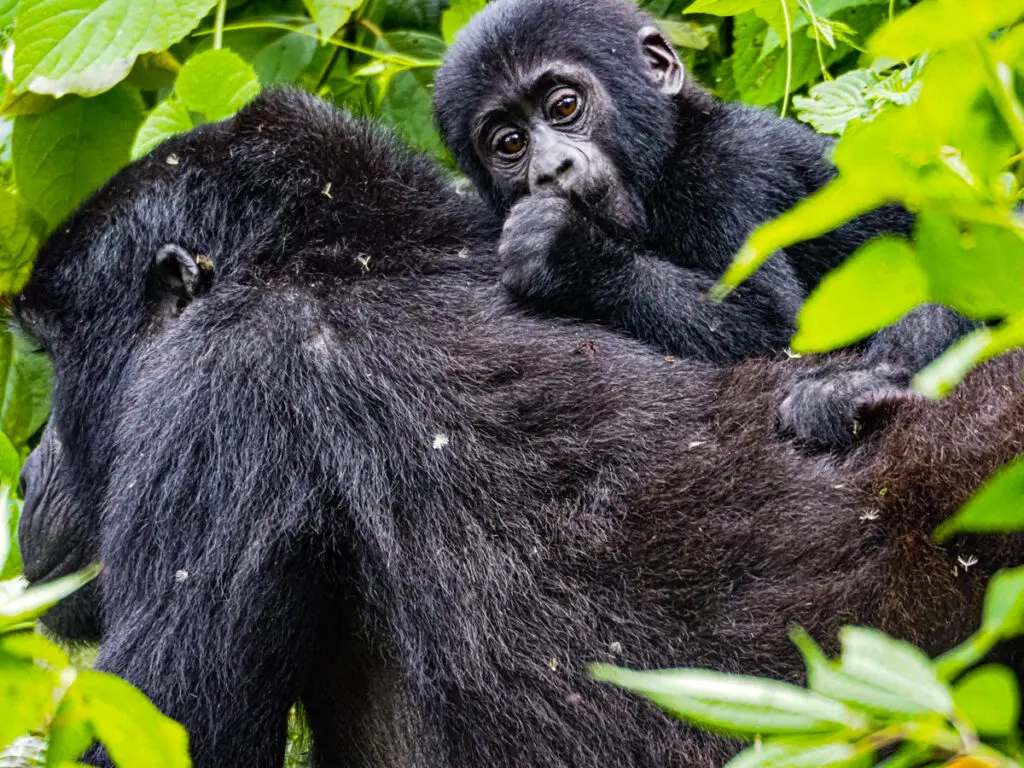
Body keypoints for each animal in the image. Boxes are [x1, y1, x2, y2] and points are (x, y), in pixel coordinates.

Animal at [432, 0, 974, 450]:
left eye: (564, 106)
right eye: (510, 143)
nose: (552, 169)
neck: (672, 151)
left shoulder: (725, 172)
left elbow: (776, 330)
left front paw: (567, 250)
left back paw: (861, 386)